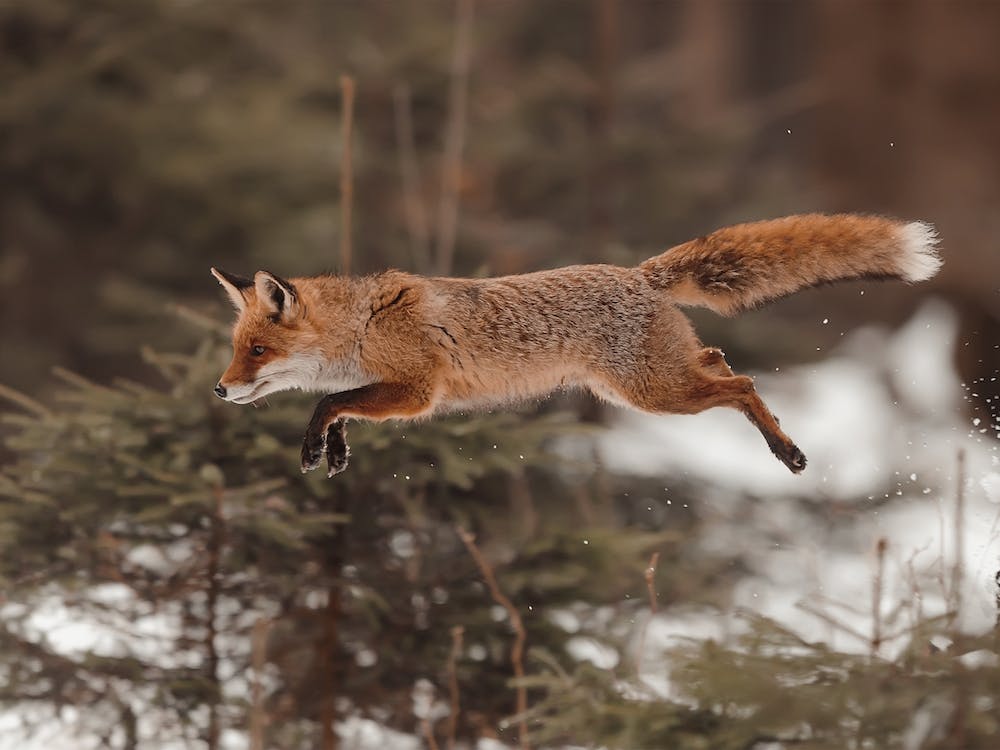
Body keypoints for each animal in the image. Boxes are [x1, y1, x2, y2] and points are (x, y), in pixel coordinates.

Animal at [211, 213, 940, 477]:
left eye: (256, 352)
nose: (219, 388)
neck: (364, 324)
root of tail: (638, 273)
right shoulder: (391, 391)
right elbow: (339, 403)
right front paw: (333, 450)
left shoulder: (418, 393)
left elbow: (327, 401)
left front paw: (316, 444)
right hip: (655, 381)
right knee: (719, 362)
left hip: (654, 394)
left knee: (743, 384)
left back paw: (785, 450)